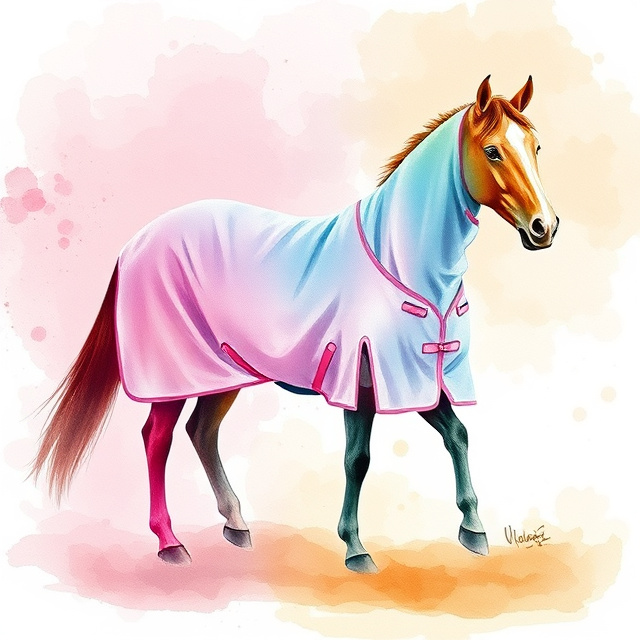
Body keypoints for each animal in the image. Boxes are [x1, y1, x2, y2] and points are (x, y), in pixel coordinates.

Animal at [32, 76, 558, 573]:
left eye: (535, 147)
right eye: (492, 151)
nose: (544, 227)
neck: (403, 261)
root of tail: (134, 244)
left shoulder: (416, 376)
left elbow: (458, 435)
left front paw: (473, 529)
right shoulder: (365, 377)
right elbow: (358, 459)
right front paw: (355, 549)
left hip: (225, 371)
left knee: (201, 431)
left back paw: (236, 524)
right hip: (175, 375)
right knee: (156, 439)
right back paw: (170, 543)